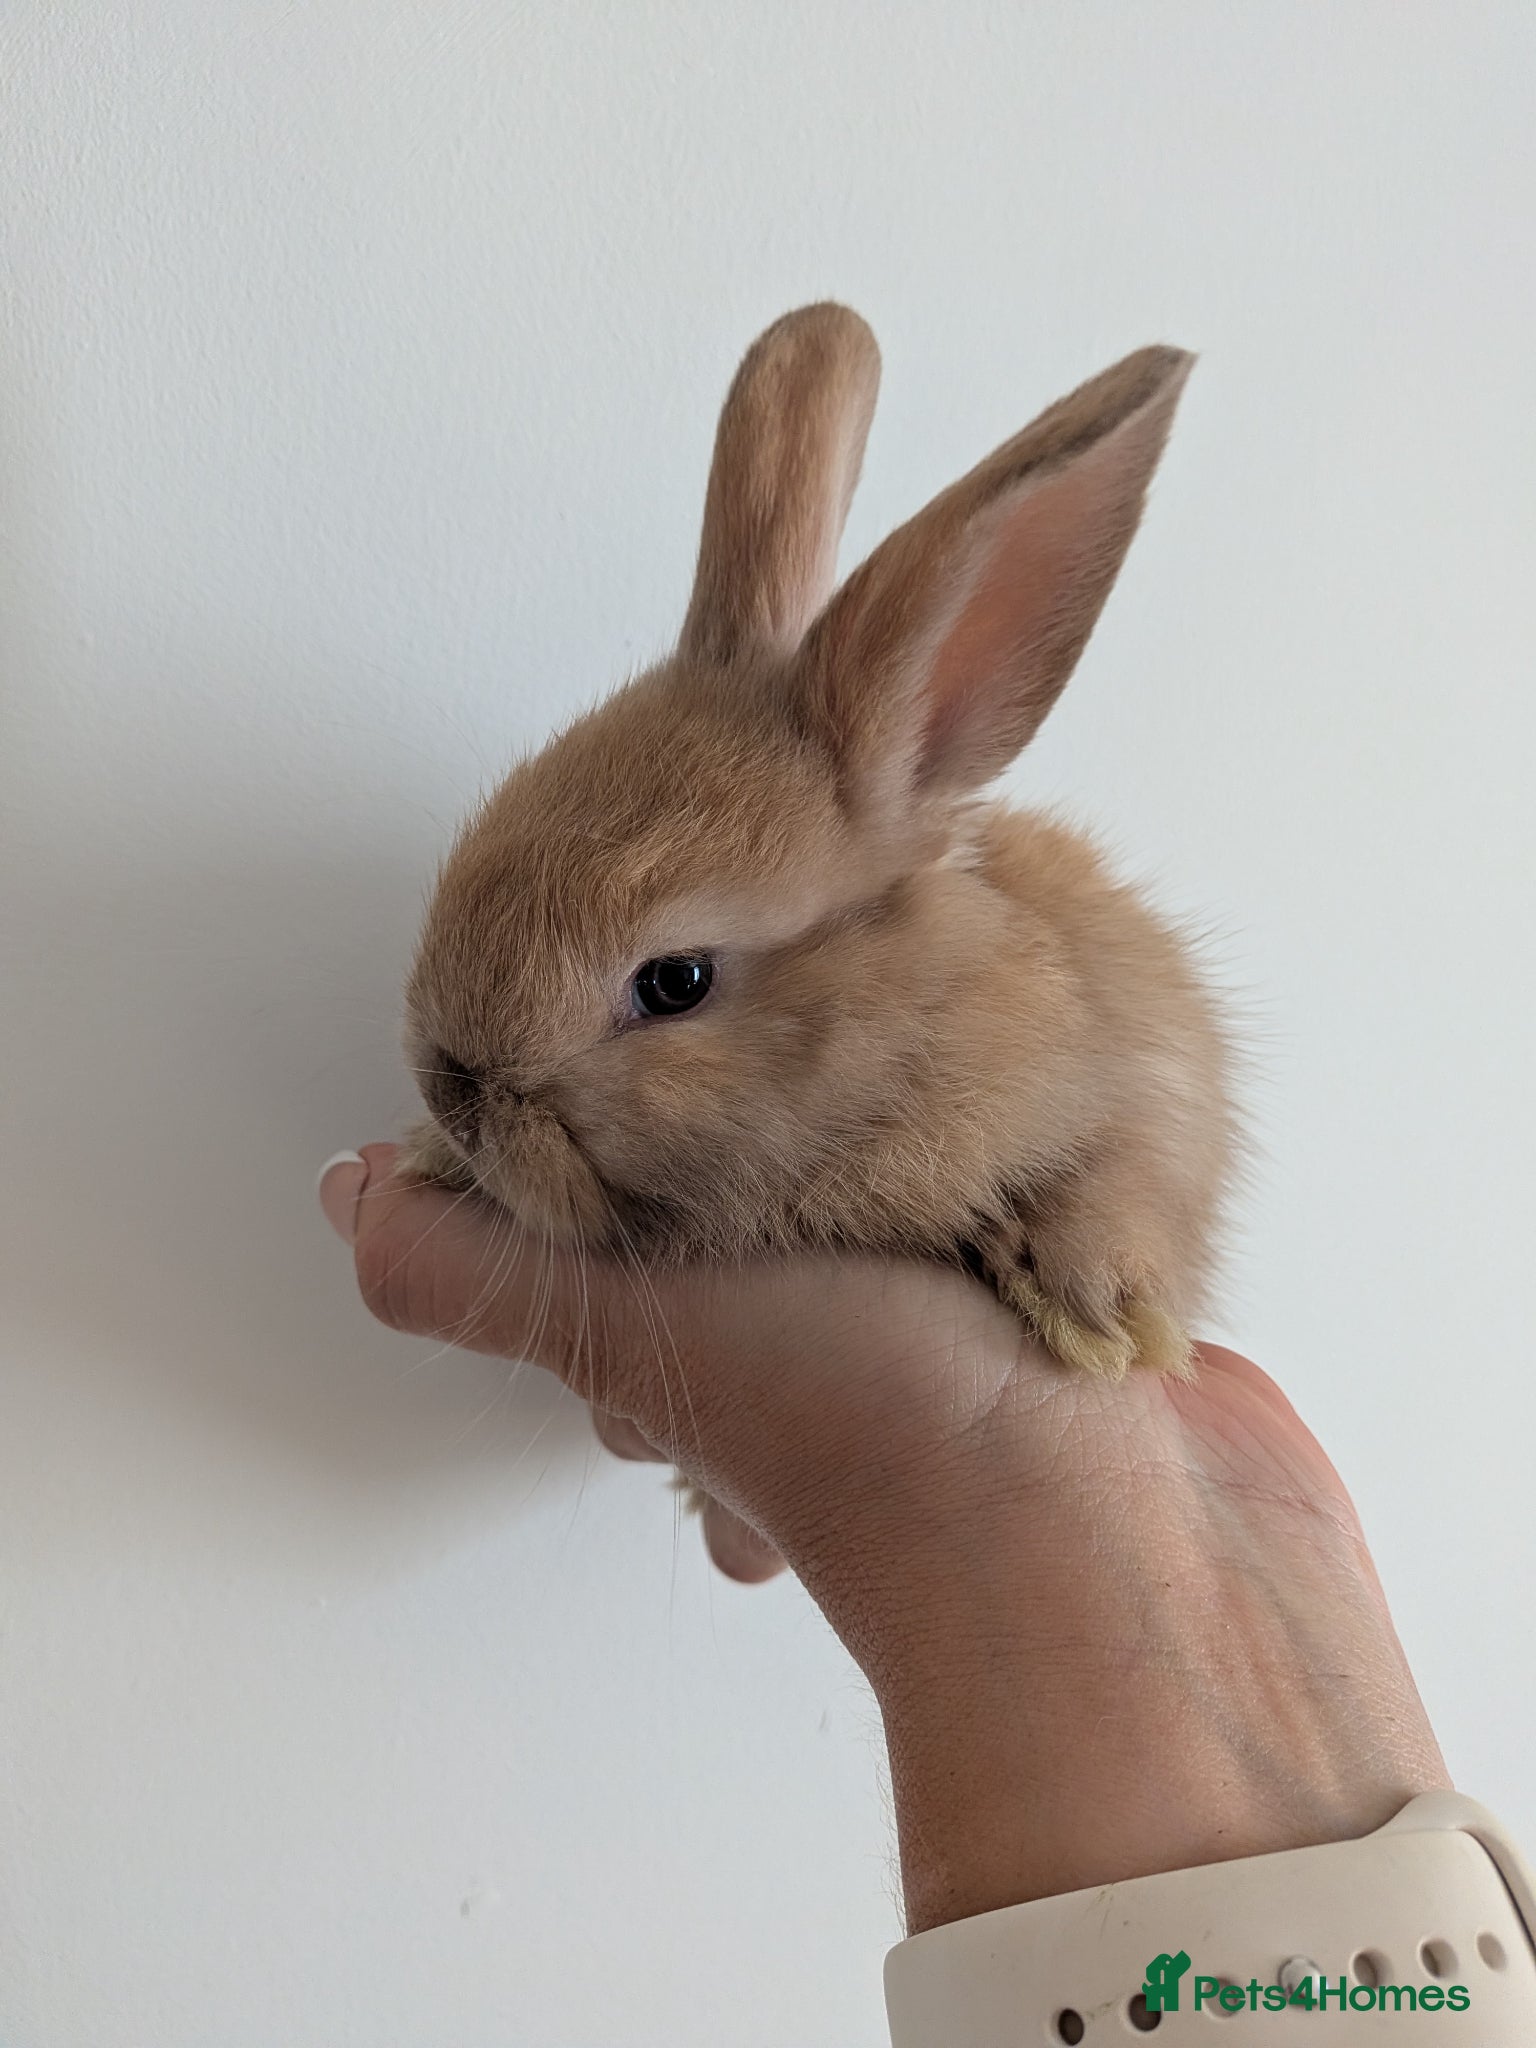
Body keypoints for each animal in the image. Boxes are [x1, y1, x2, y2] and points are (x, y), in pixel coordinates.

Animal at [399, 302, 1241, 1382]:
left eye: (675, 981)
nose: (453, 1093)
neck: (915, 1017)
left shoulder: (1152, 1093)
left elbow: (1119, 1180)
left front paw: (1100, 1312)